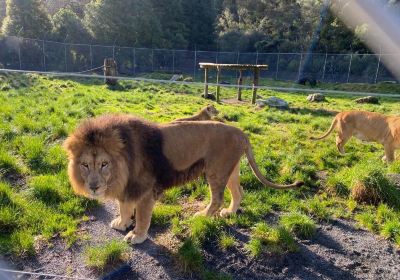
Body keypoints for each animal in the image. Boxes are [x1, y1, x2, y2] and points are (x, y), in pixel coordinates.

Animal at [63, 115, 304, 244]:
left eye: (104, 164)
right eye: (85, 165)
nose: (94, 188)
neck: (121, 170)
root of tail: (241, 132)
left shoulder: (145, 190)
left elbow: (141, 217)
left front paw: (137, 235)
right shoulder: (129, 188)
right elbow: (124, 207)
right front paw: (122, 223)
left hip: (216, 171)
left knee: (217, 198)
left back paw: (203, 216)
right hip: (231, 169)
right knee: (239, 192)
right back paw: (230, 212)